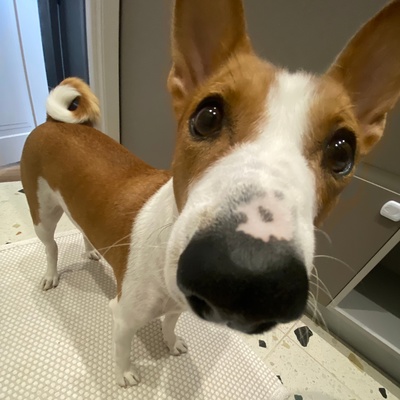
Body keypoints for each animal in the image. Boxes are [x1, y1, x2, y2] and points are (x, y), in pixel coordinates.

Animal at [21, 0, 400, 387]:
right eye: (207, 117)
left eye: (343, 153)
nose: (247, 277)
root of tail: (53, 124)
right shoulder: (123, 317)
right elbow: (123, 350)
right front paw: (125, 373)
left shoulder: (176, 307)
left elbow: (170, 324)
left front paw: (170, 342)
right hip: (42, 216)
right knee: (51, 248)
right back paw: (51, 274)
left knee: (83, 229)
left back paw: (92, 251)